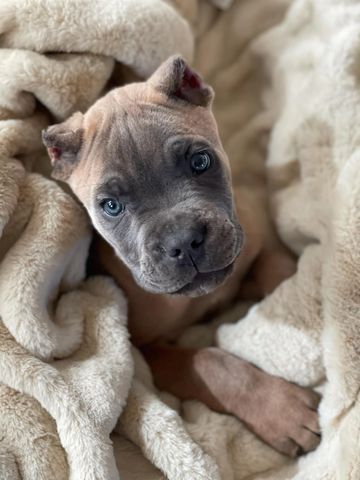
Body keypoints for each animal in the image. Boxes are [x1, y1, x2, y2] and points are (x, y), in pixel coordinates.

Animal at [42, 56, 320, 458]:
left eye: (201, 162)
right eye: (111, 206)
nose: (184, 242)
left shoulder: (258, 238)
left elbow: (280, 274)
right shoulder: (148, 353)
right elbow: (208, 362)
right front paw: (281, 410)